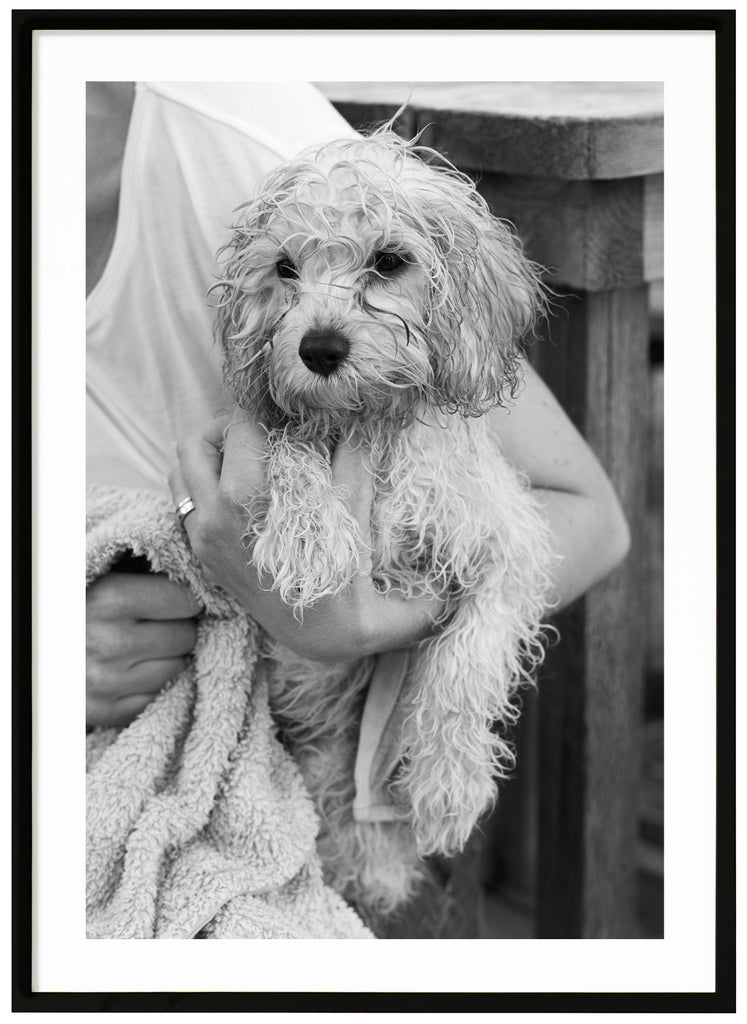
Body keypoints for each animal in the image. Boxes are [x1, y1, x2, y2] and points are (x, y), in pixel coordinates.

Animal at [213, 128, 549, 913]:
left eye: (390, 260)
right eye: (284, 267)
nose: (319, 348)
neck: (372, 426)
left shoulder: (505, 548)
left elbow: (465, 664)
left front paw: (449, 785)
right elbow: (294, 442)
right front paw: (308, 534)